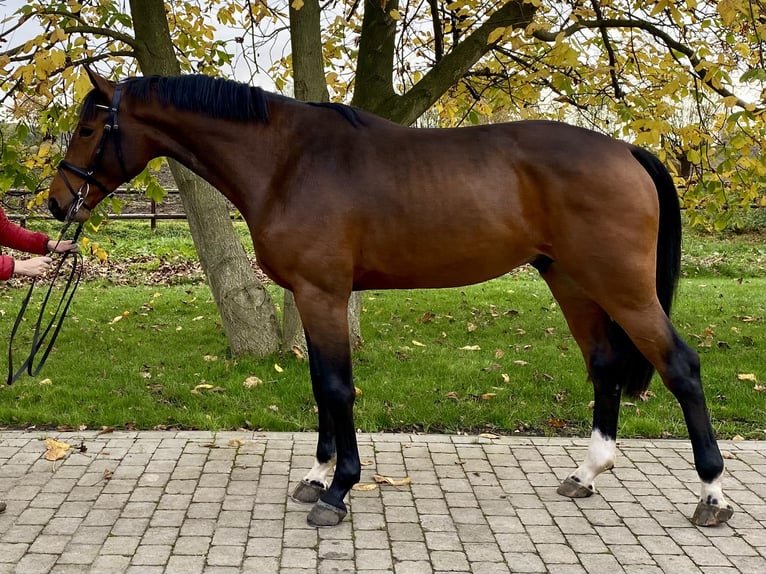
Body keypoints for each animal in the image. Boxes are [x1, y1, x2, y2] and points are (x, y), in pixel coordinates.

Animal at [49, 68, 736, 532]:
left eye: (89, 127)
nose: (58, 204)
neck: (288, 161)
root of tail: (626, 150)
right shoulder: (312, 298)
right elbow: (321, 385)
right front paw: (316, 477)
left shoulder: (323, 293)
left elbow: (335, 387)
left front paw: (337, 492)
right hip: (571, 282)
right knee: (604, 363)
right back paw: (586, 473)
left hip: (622, 286)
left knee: (681, 366)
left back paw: (712, 496)